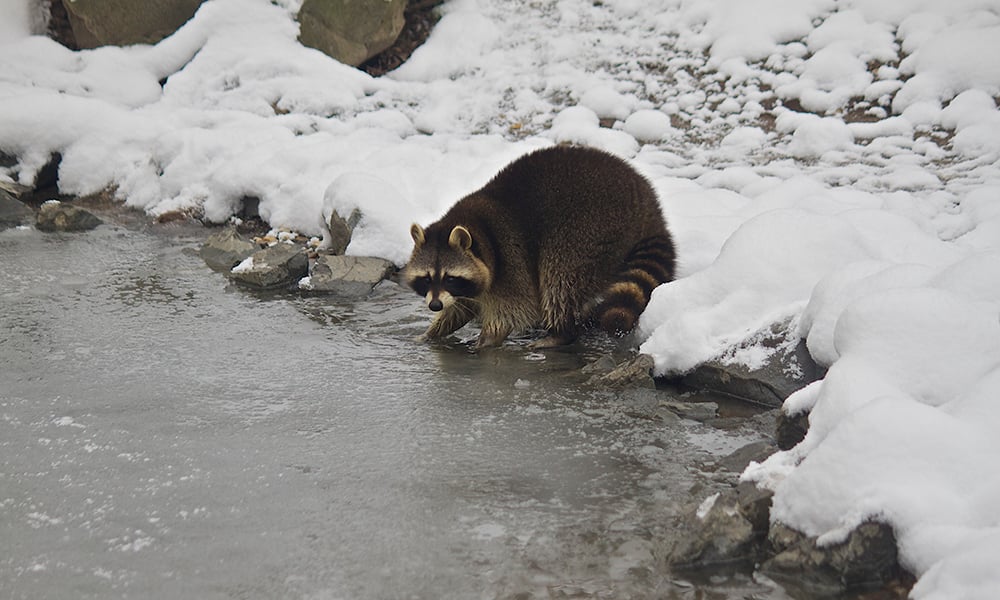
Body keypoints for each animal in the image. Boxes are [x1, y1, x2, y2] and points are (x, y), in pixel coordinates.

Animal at [402, 146, 676, 350]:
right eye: (426, 279)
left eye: (450, 277)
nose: (434, 306)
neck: (478, 230)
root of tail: (650, 210)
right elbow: (462, 306)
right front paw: (433, 332)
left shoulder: (509, 258)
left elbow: (515, 308)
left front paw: (487, 339)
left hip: (590, 228)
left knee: (559, 276)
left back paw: (561, 332)